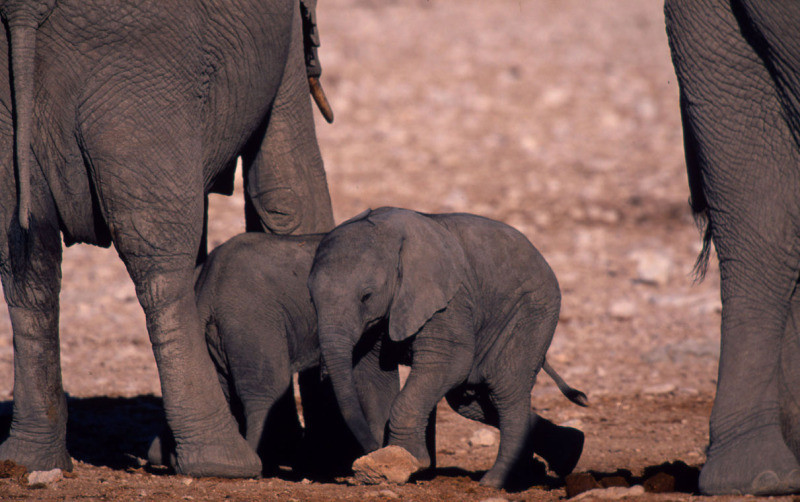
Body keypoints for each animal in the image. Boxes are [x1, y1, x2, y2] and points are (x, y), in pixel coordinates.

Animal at [0, 0, 334, 476]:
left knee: (29, 269)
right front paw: (317, 454)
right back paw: (222, 461)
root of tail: (25, 9)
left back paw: (27, 460)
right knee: (159, 261)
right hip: (141, 68)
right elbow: (289, 195)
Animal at [310, 206, 588, 488]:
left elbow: (449, 361)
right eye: (311, 299)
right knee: (470, 399)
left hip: (532, 312)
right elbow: (372, 374)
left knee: (505, 390)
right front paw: (387, 461)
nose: (370, 447)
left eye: (366, 296)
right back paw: (569, 451)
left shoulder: (449, 300)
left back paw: (495, 482)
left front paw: (409, 460)